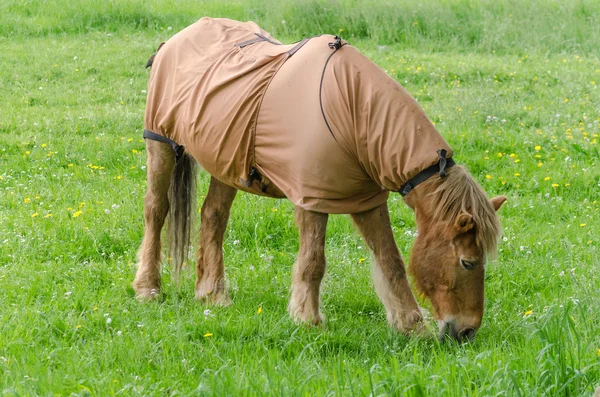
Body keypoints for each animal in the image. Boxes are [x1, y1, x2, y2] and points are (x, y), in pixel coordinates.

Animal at [132, 17, 506, 340]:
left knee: (213, 218)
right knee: (156, 211)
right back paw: (148, 288)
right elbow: (313, 261)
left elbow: (391, 261)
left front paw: (411, 326)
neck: (352, 110)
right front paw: (308, 320)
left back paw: (212, 295)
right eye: (468, 262)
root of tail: (175, 40)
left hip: (226, 160)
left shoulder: (366, 201)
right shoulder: (311, 196)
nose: (466, 331)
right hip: (161, 145)